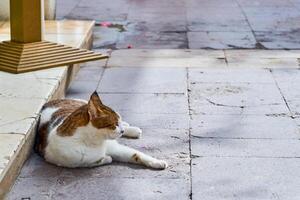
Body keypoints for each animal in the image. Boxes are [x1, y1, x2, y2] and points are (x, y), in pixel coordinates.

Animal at [35, 91, 169, 170]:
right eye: (114, 124)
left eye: (118, 122)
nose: (121, 130)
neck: (92, 141)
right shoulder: (66, 161)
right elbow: (89, 162)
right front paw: (106, 159)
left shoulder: (114, 147)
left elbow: (136, 154)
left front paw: (157, 162)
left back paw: (132, 129)